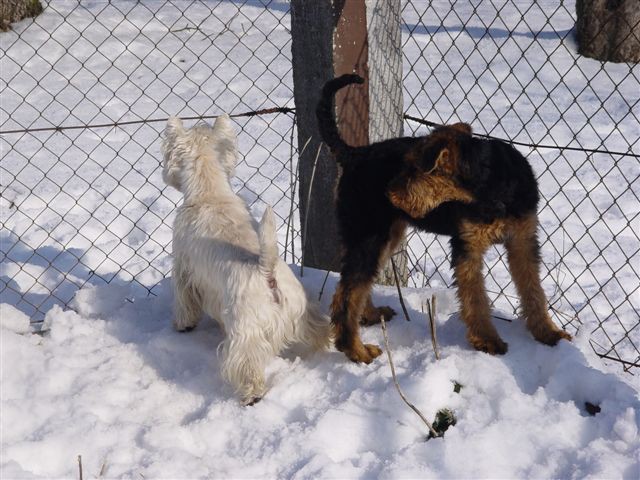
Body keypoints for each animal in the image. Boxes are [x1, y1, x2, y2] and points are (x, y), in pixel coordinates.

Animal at [162, 114, 330, 404]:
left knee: (246, 363)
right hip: (301, 308)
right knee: (319, 328)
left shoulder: (184, 269)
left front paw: (183, 325)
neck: (210, 194)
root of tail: (267, 270)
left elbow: (184, 301)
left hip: (244, 329)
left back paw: (251, 395)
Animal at [318, 73, 572, 362]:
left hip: (384, 236)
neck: (492, 189)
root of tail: (354, 154)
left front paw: (548, 333)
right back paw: (356, 350)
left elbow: (533, 290)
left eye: (413, 169)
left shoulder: (523, 240)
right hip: (369, 234)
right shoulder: (467, 246)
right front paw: (488, 340)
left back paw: (370, 316)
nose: (389, 193)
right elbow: (476, 298)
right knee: (347, 293)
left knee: (355, 285)